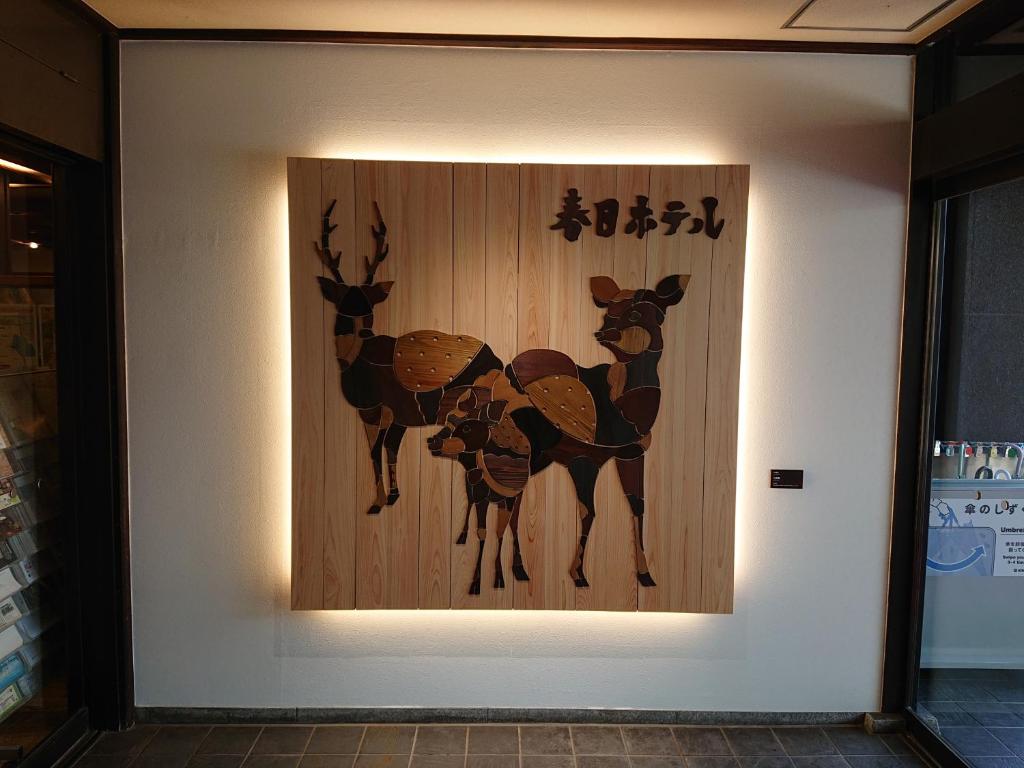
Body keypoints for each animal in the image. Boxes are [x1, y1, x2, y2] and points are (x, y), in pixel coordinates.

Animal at [314, 200, 503, 515]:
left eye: (369, 306)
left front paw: (377, 502)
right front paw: (392, 496)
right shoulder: (396, 415)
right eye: (343, 305)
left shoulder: (376, 408)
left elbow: (375, 450)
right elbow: (389, 449)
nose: (363, 330)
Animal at [503, 273, 688, 589]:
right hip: (528, 450)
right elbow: (590, 511)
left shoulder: (631, 454)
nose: (602, 332)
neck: (626, 412)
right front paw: (578, 575)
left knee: (513, 497)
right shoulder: (584, 459)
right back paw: (514, 570)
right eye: (608, 312)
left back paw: (518, 570)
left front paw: (646, 575)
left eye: (636, 313)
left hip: (539, 457)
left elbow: (638, 506)